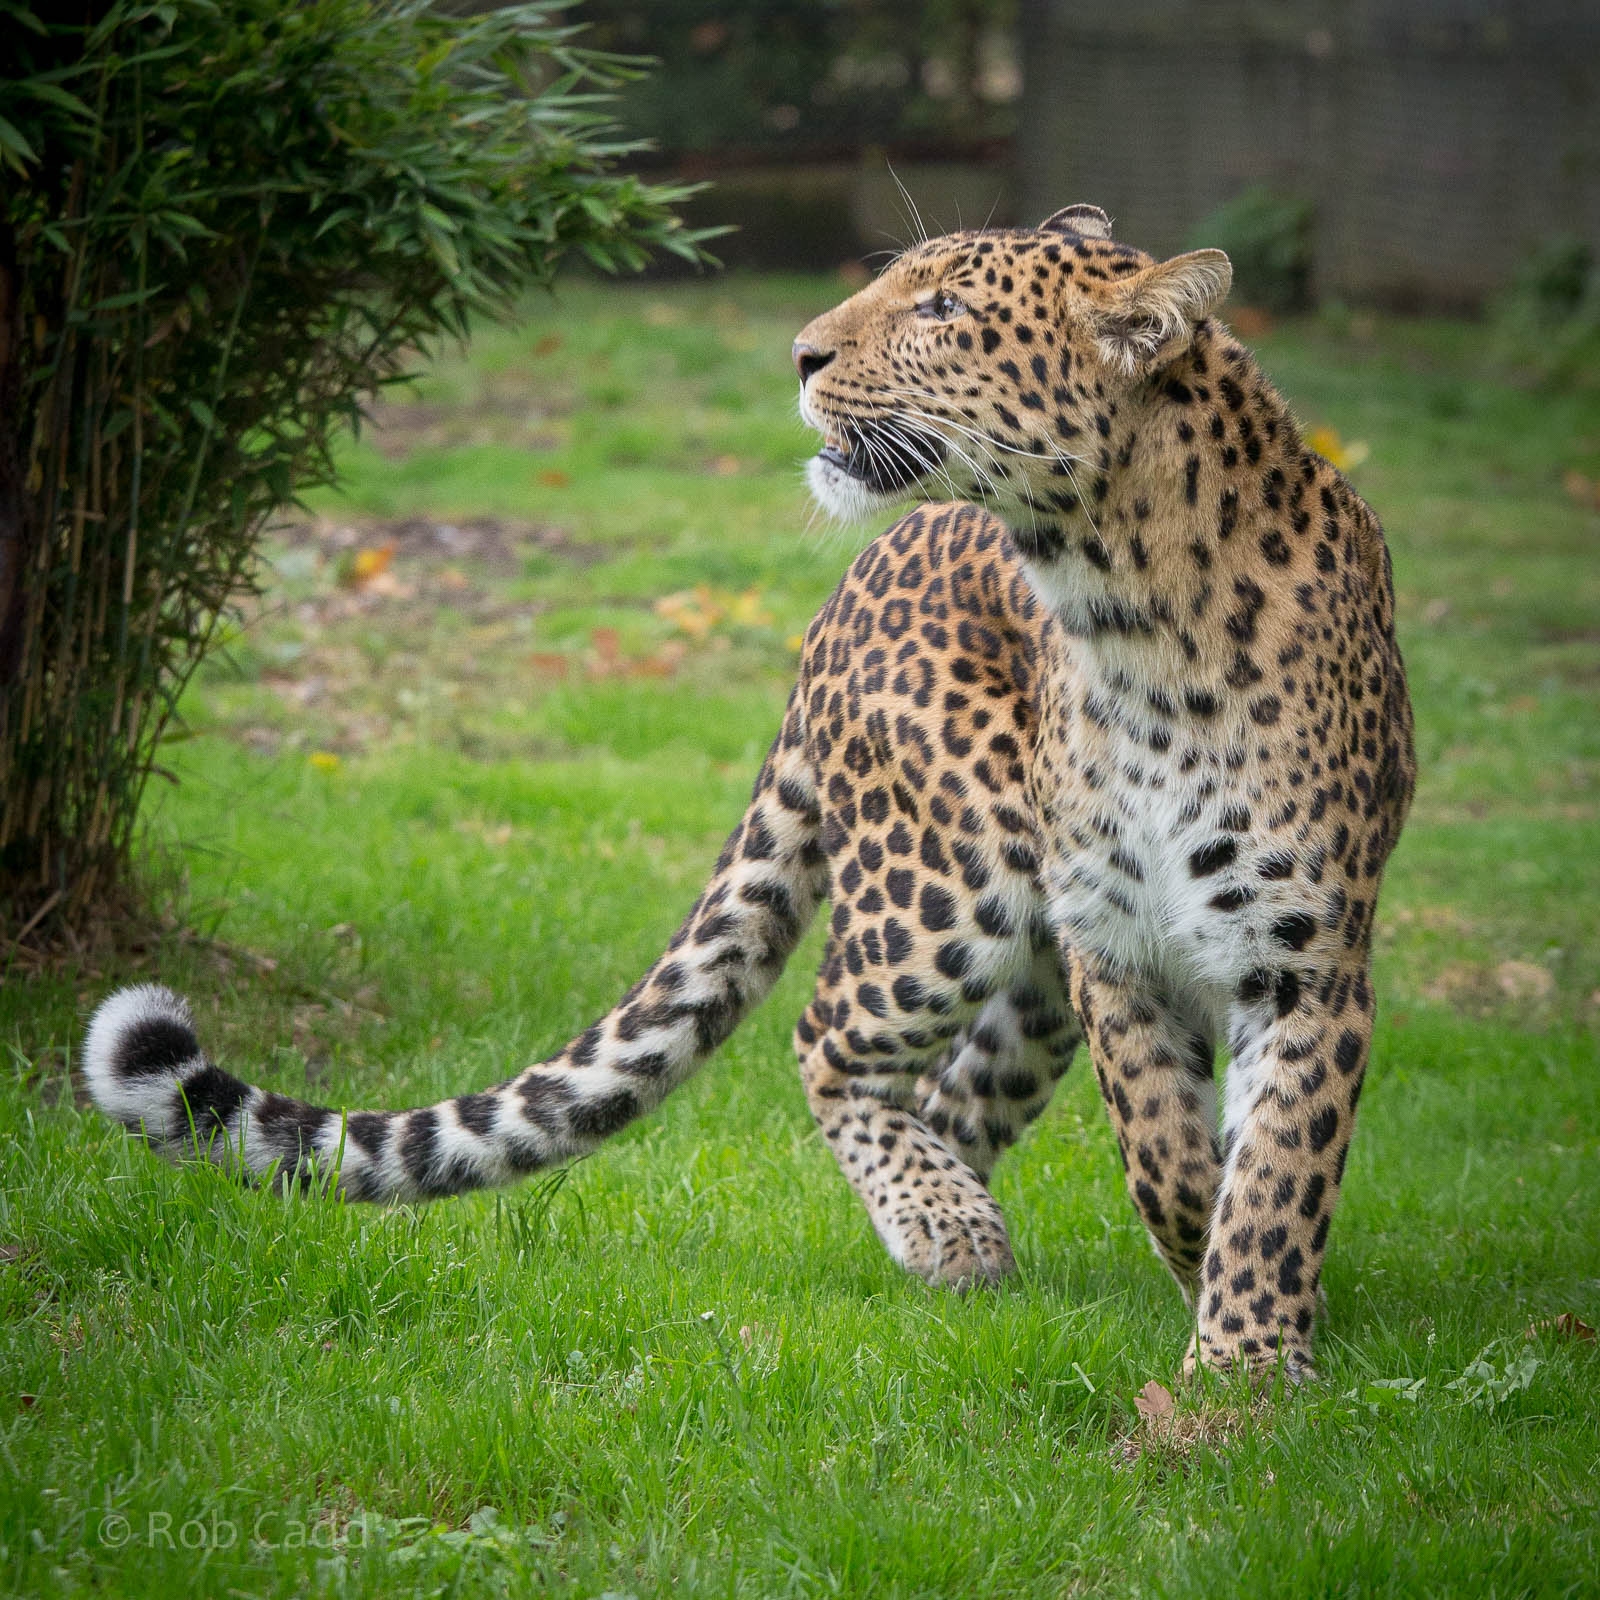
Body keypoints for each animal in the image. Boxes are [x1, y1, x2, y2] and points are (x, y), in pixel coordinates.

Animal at [84, 203, 1414, 1382]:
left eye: (943, 309)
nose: (801, 354)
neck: (1121, 607)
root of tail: (852, 583)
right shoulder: (1115, 946)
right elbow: (1168, 1155)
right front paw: (1227, 1320)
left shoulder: (1303, 960)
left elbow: (1276, 1165)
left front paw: (1244, 1362)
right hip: (951, 886)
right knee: (828, 1038)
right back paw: (946, 1225)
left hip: (1024, 970)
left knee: (949, 1093)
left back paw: (952, 1234)